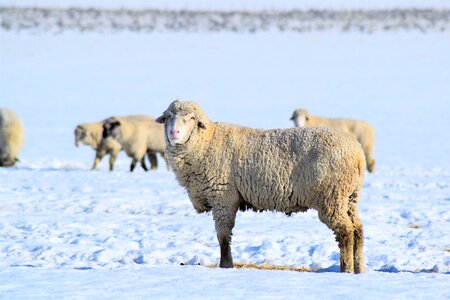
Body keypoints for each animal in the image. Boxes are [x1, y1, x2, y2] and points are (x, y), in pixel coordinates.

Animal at [156, 99, 368, 274]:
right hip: (349, 196)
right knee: (358, 229)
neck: (207, 142)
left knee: (345, 231)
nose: (174, 133)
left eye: (191, 118)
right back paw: (359, 269)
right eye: (168, 117)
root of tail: (357, 153)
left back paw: (346, 269)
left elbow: (223, 235)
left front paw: (226, 265)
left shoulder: (223, 197)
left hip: (331, 197)